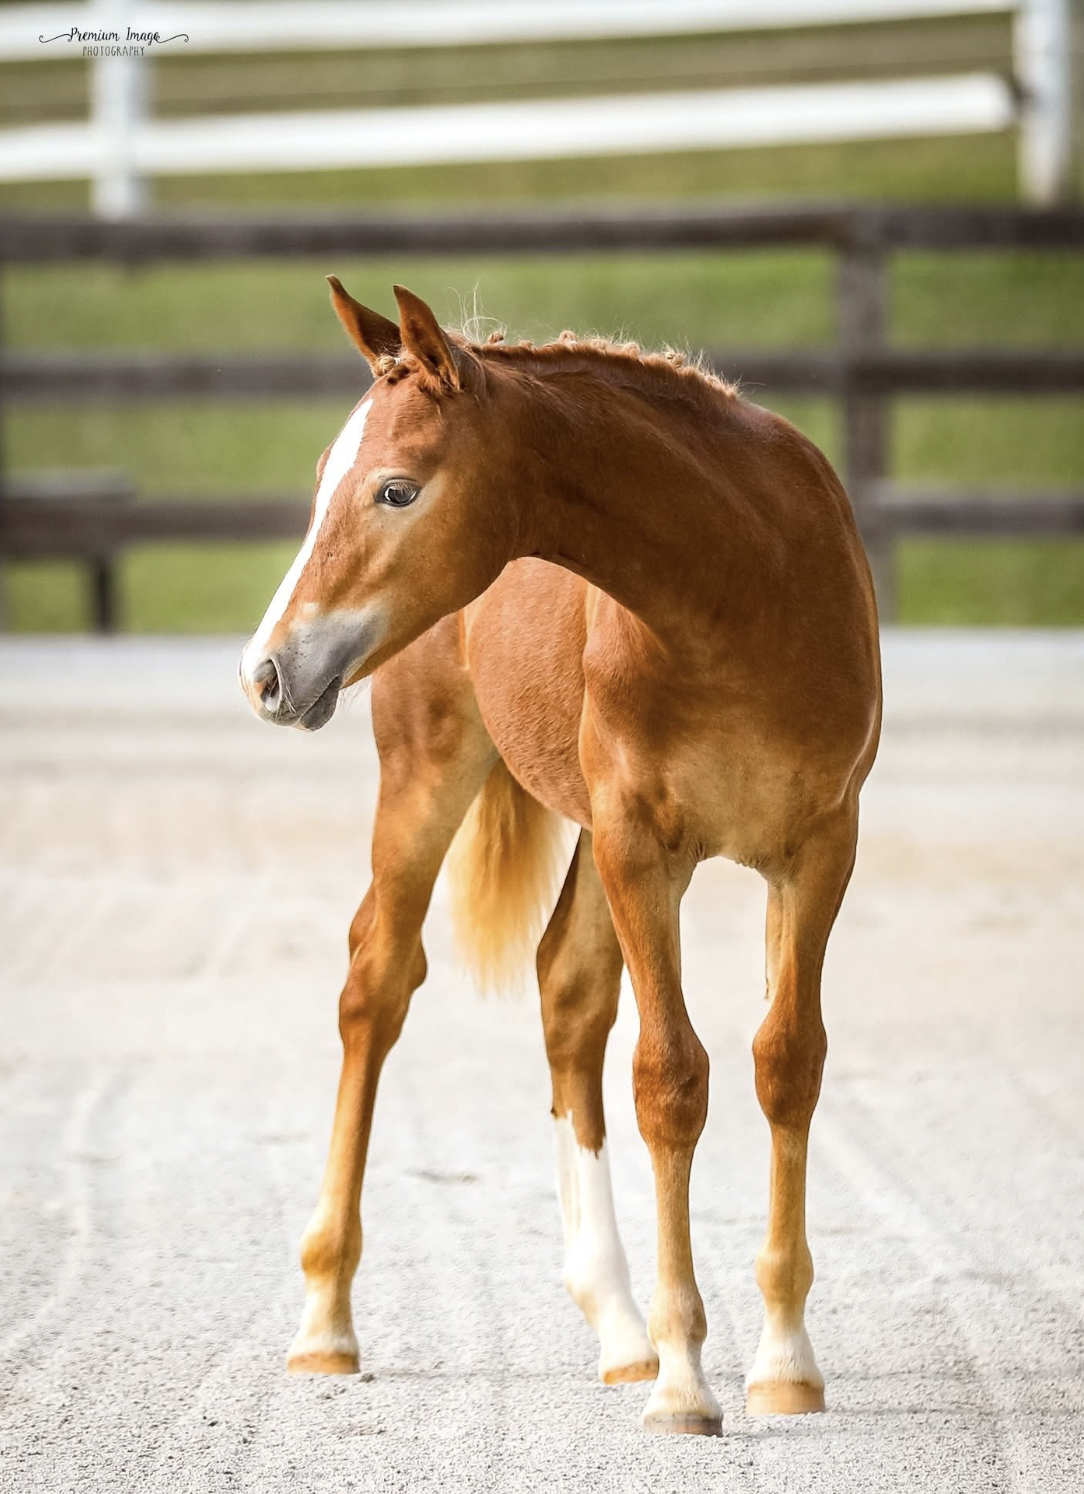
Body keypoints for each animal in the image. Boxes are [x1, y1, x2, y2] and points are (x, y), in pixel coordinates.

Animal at [239, 279, 882, 1435]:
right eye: (321, 482)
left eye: (395, 489)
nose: (265, 671)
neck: (741, 588)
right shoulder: (641, 845)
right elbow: (670, 1078)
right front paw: (685, 1382)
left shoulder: (818, 847)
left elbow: (785, 1061)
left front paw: (783, 1363)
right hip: (431, 772)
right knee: (376, 983)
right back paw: (326, 1322)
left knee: (567, 989)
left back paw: (618, 1328)